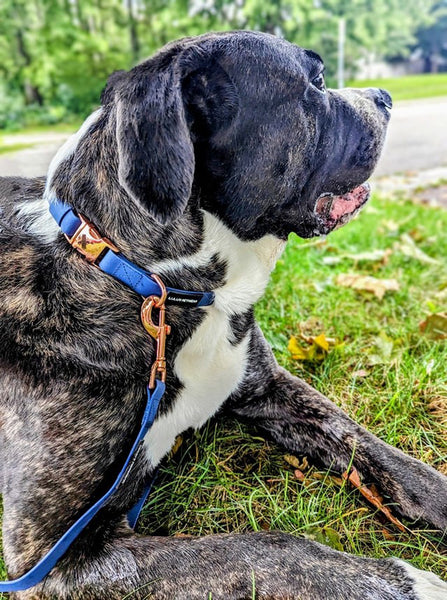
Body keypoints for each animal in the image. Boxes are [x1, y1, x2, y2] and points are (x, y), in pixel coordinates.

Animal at [0, 29, 447, 600]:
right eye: (317, 82)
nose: (385, 97)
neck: (160, 287)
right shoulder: (58, 557)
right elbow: (268, 548)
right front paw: (404, 580)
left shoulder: (270, 388)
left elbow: (379, 451)